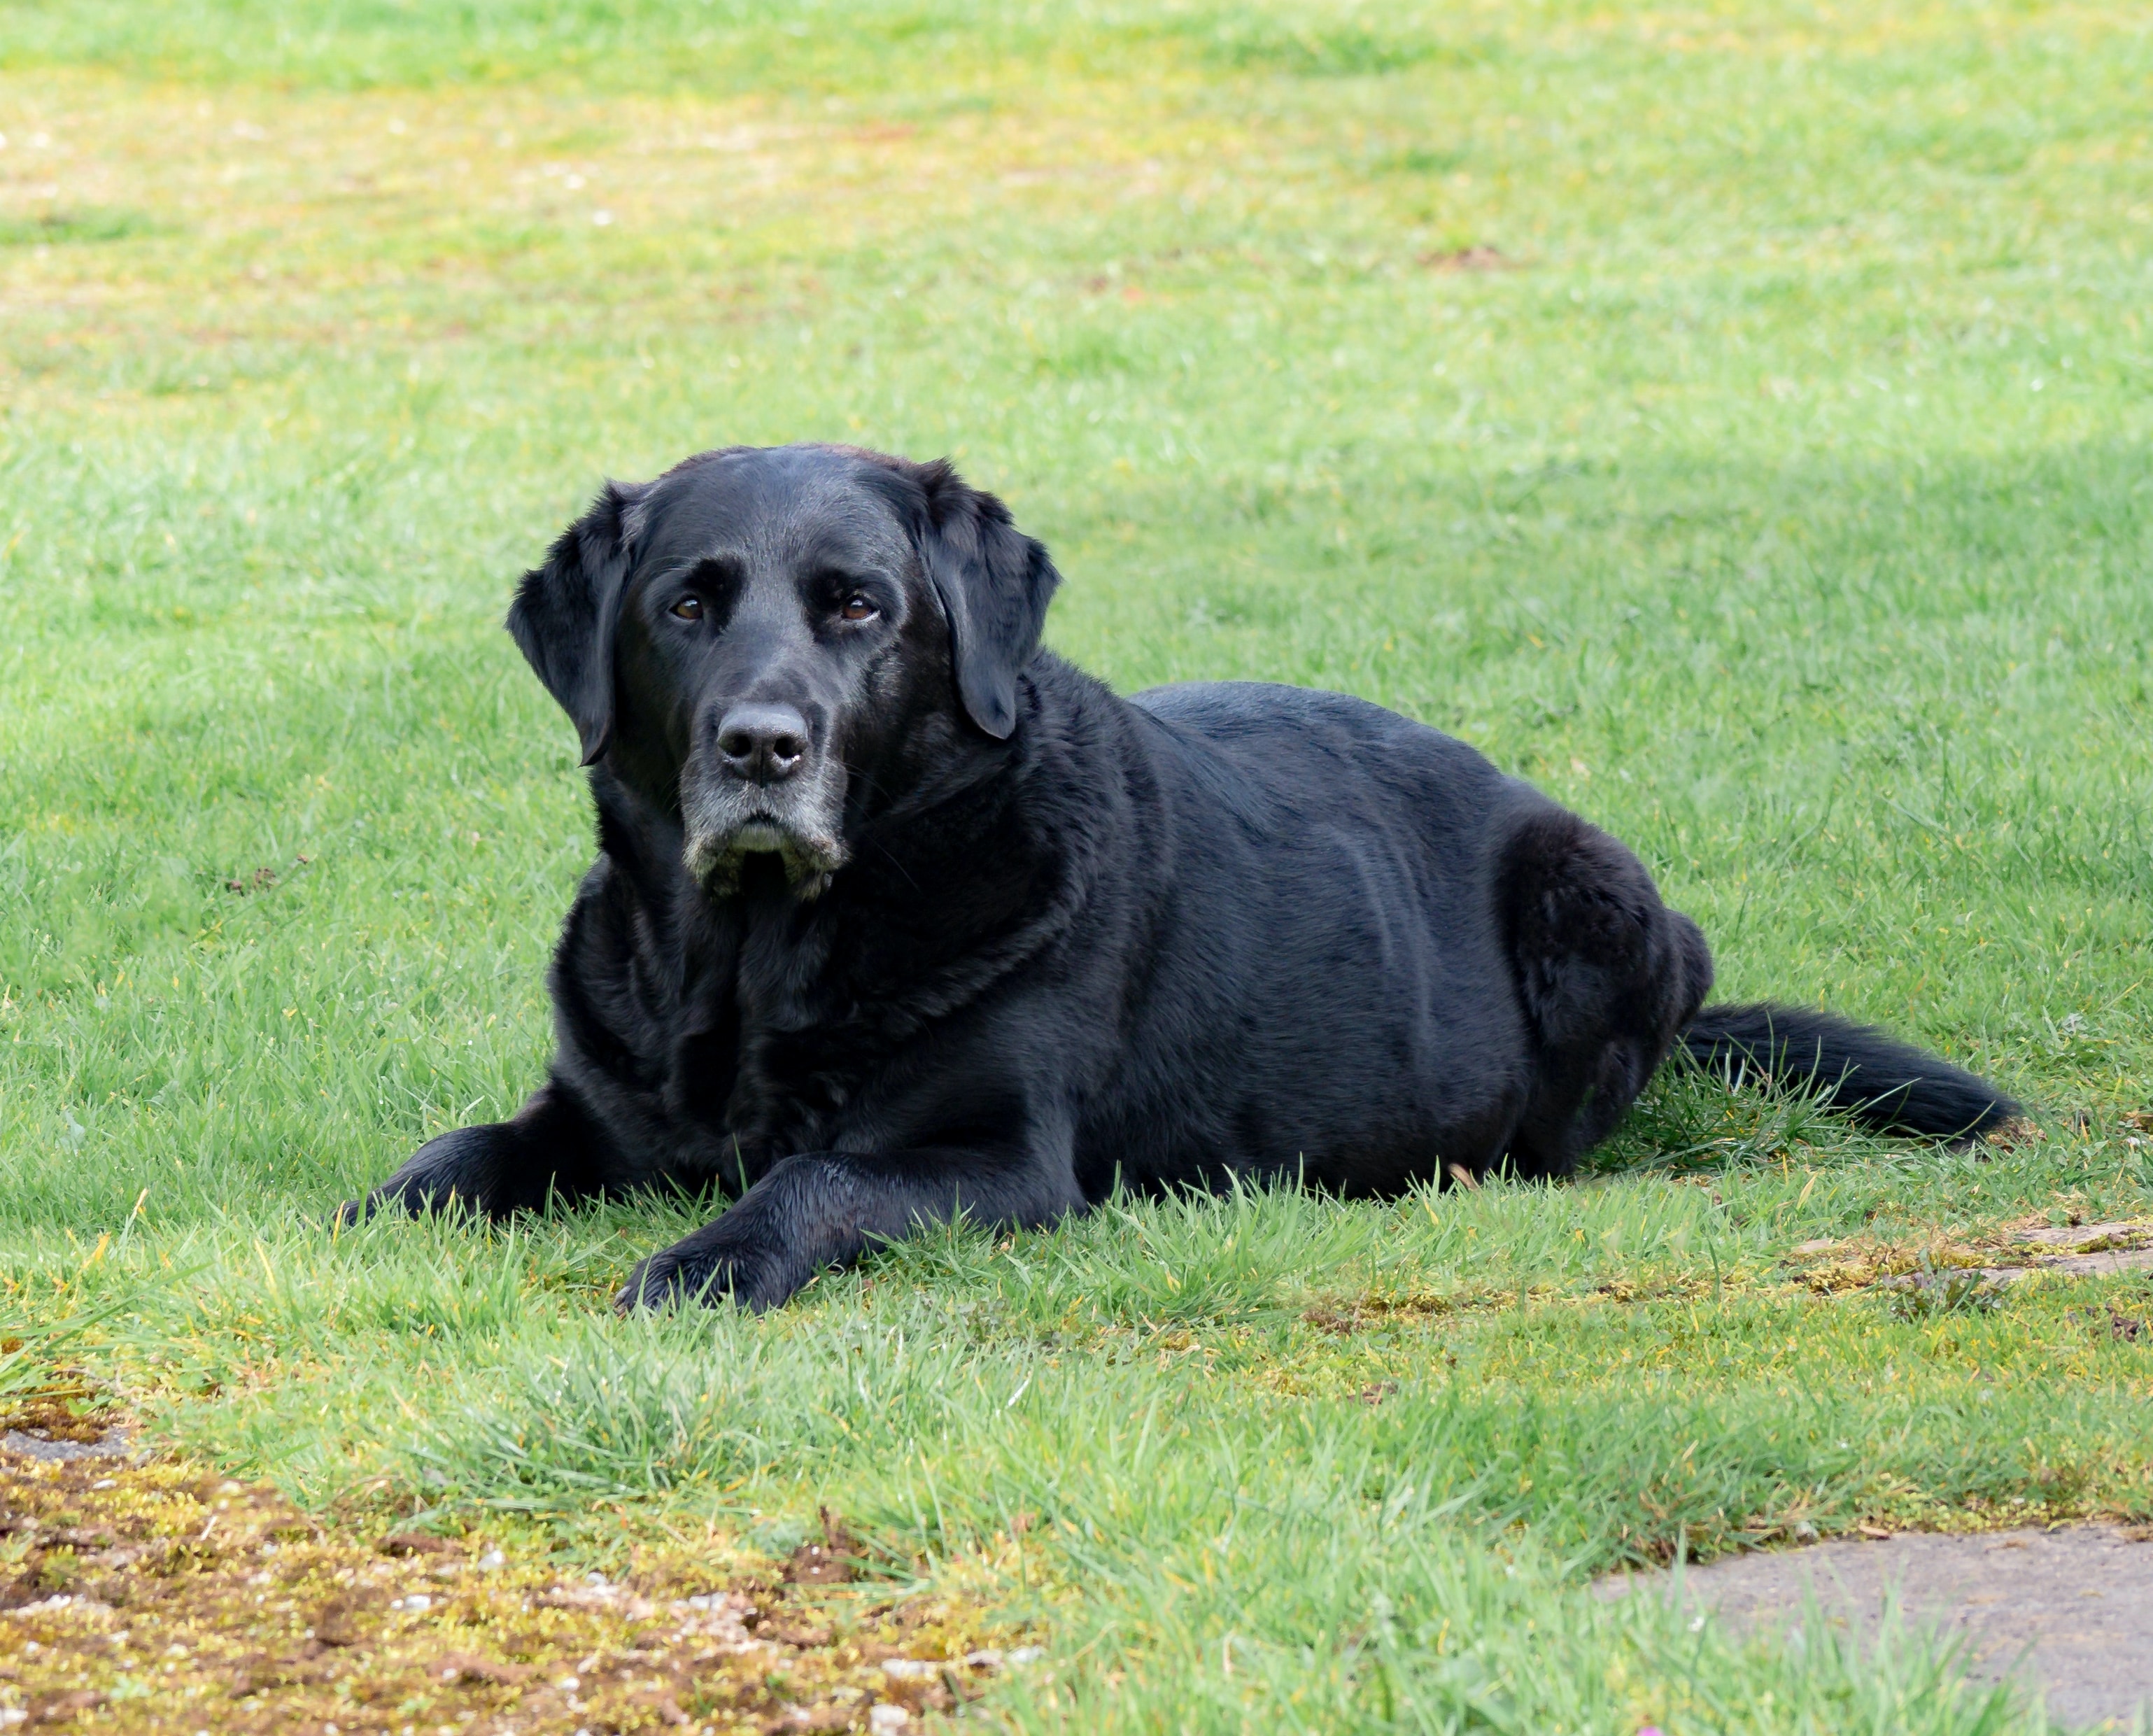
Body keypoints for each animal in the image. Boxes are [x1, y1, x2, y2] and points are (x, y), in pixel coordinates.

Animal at [344, 442, 2024, 1309]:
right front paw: (376, 1210)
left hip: (1598, 898)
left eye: (859, 607)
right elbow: (456, 1151)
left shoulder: (993, 1158)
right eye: (687, 606)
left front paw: (705, 1261)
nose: (761, 744)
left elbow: (809, 1179)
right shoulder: (591, 1109)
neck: (756, 959)